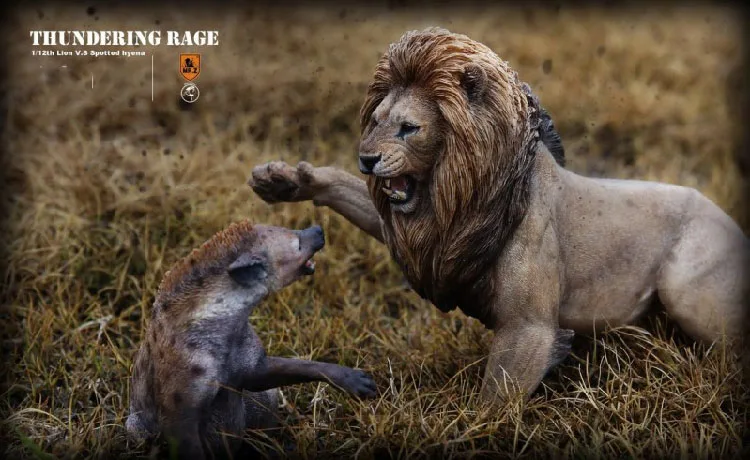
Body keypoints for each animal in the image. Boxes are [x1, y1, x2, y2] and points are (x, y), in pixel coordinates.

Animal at [249, 27, 749, 402]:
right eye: (375, 120)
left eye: (409, 128)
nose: (367, 159)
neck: (463, 196)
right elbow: (348, 193)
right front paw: (284, 180)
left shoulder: (528, 329)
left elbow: (493, 402)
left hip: (689, 292)